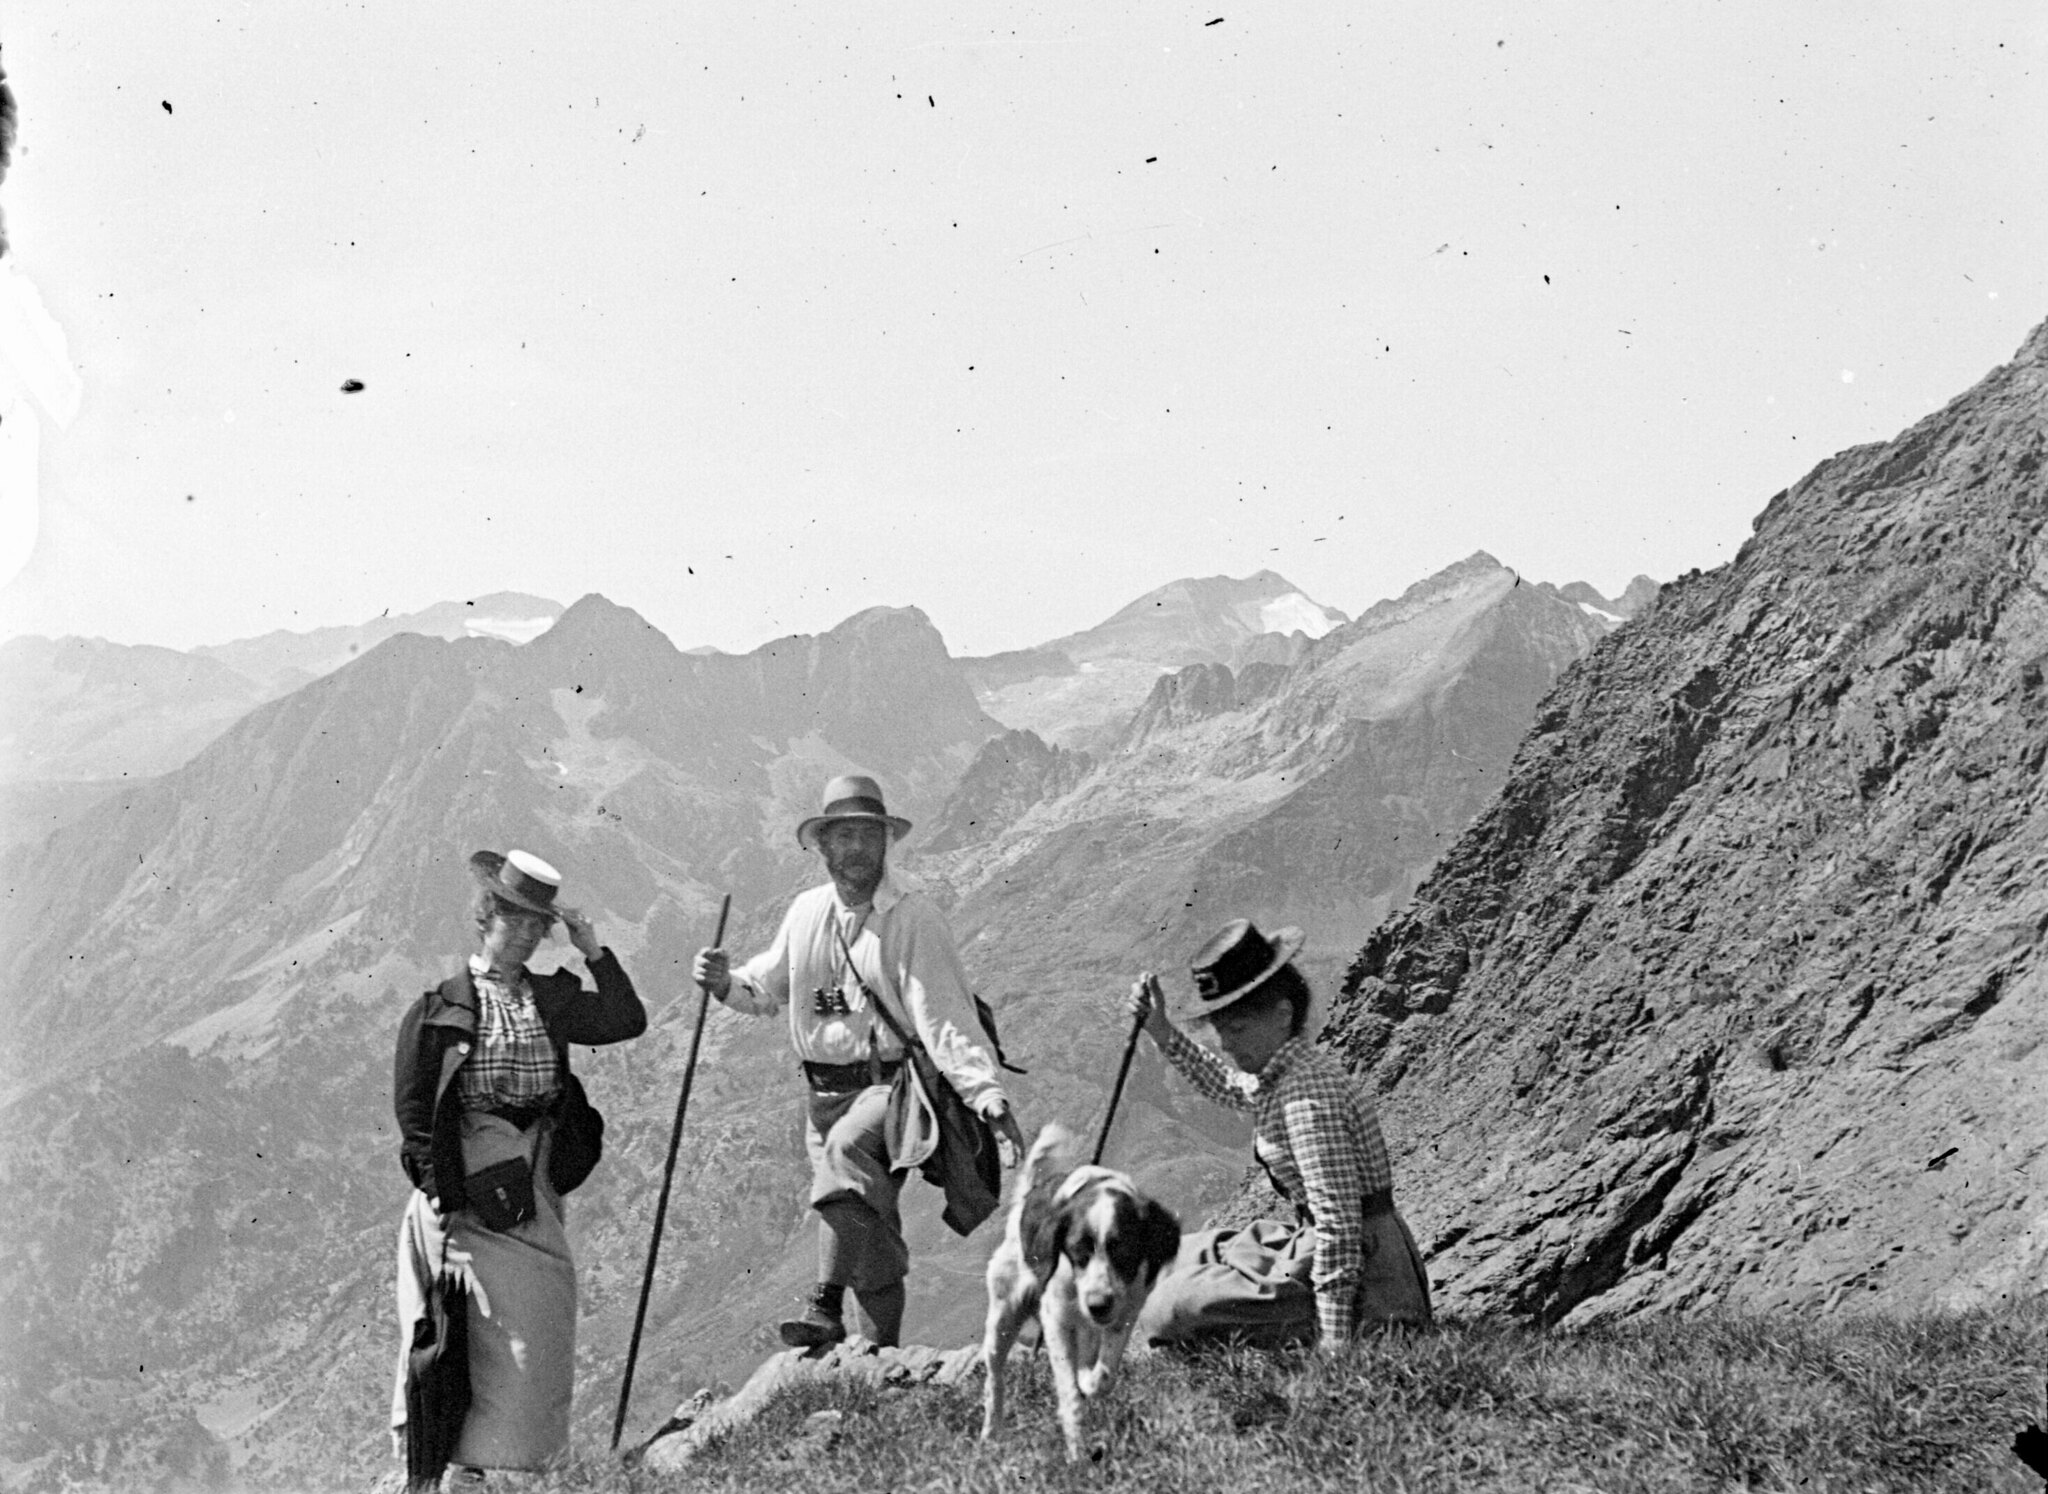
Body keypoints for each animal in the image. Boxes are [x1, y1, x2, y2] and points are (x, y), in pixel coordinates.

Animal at [978, 1114, 1187, 1459]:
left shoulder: (1126, 1310)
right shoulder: (1057, 1320)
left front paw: (1090, 1381)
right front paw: (1077, 1449)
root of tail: (1026, 1197)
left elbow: (1103, 1374)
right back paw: (991, 1433)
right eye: (1078, 1252)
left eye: (1124, 1251)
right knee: (994, 1377)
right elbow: (1070, 1394)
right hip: (1003, 1315)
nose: (1098, 1305)